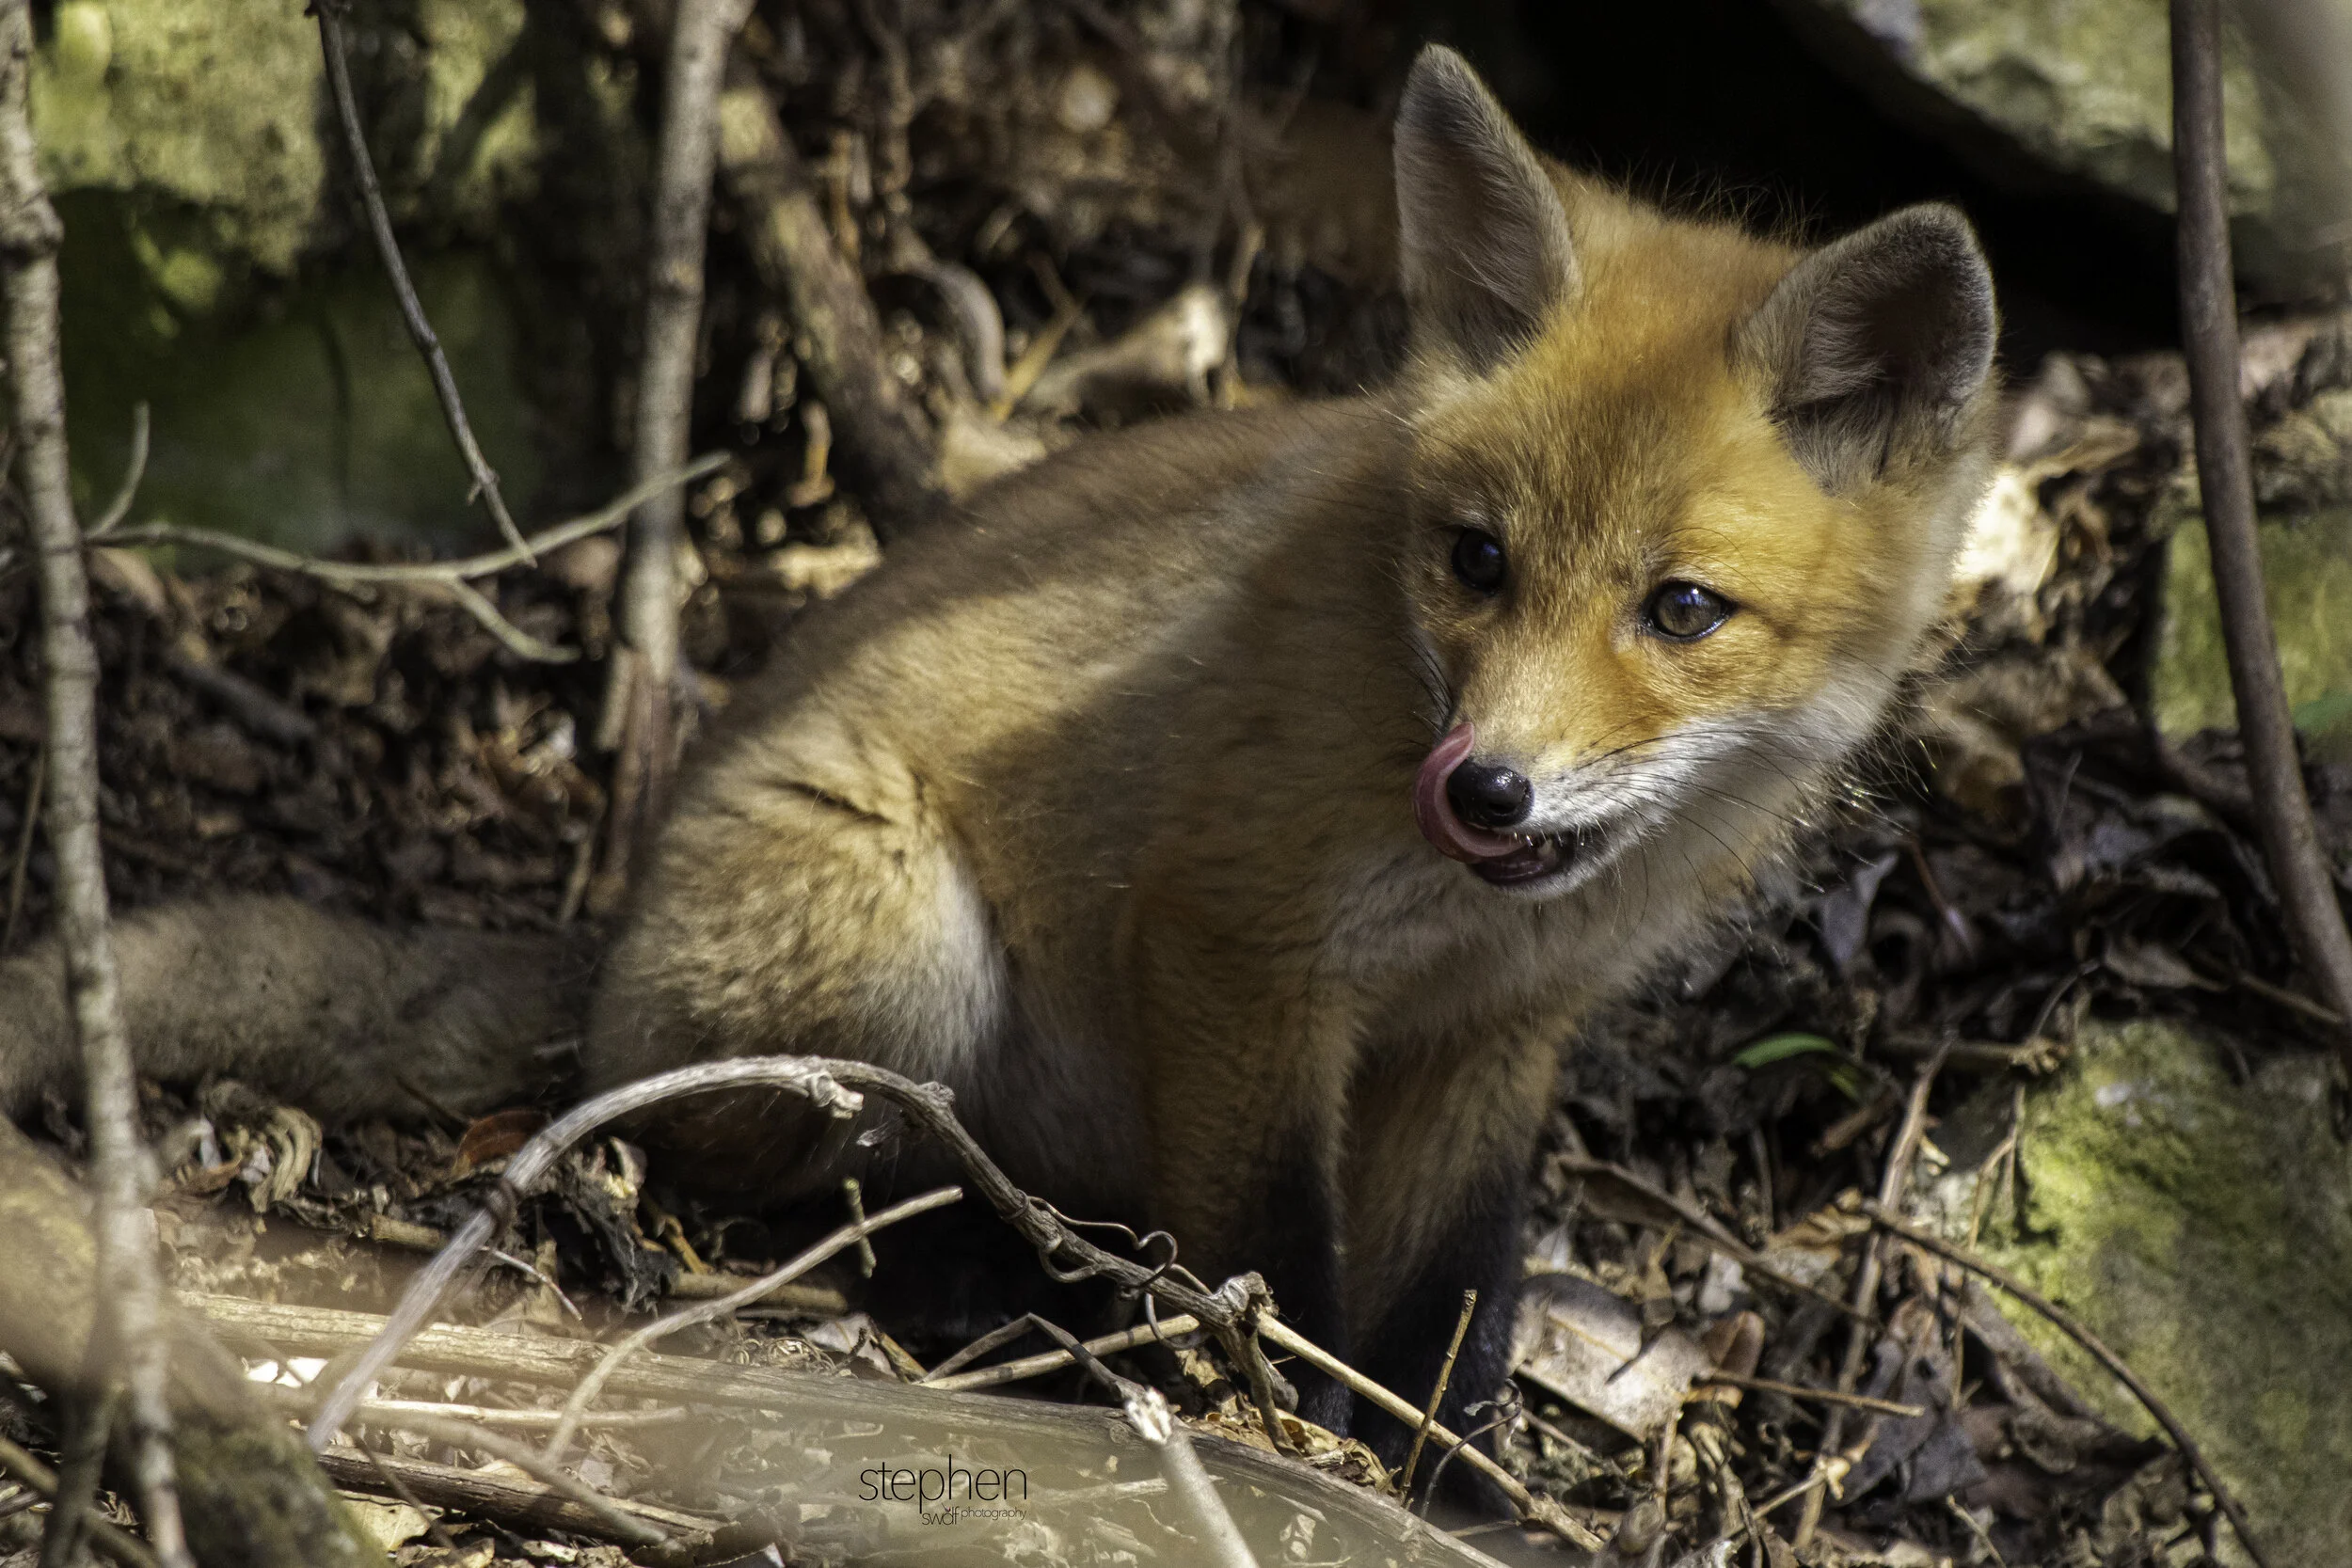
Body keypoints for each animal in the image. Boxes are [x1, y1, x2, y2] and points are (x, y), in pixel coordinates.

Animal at [0, 47, 1997, 1466]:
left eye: (1681, 608)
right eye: (1477, 561)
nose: (1481, 787)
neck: (1479, 904)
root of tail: (613, 933)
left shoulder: (1496, 1033)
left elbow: (1452, 1310)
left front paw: (1457, 1482)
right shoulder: (1231, 938)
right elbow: (1276, 1262)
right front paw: (1286, 1440)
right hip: (909, 954)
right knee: (792, 1193)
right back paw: (1004, 1304)